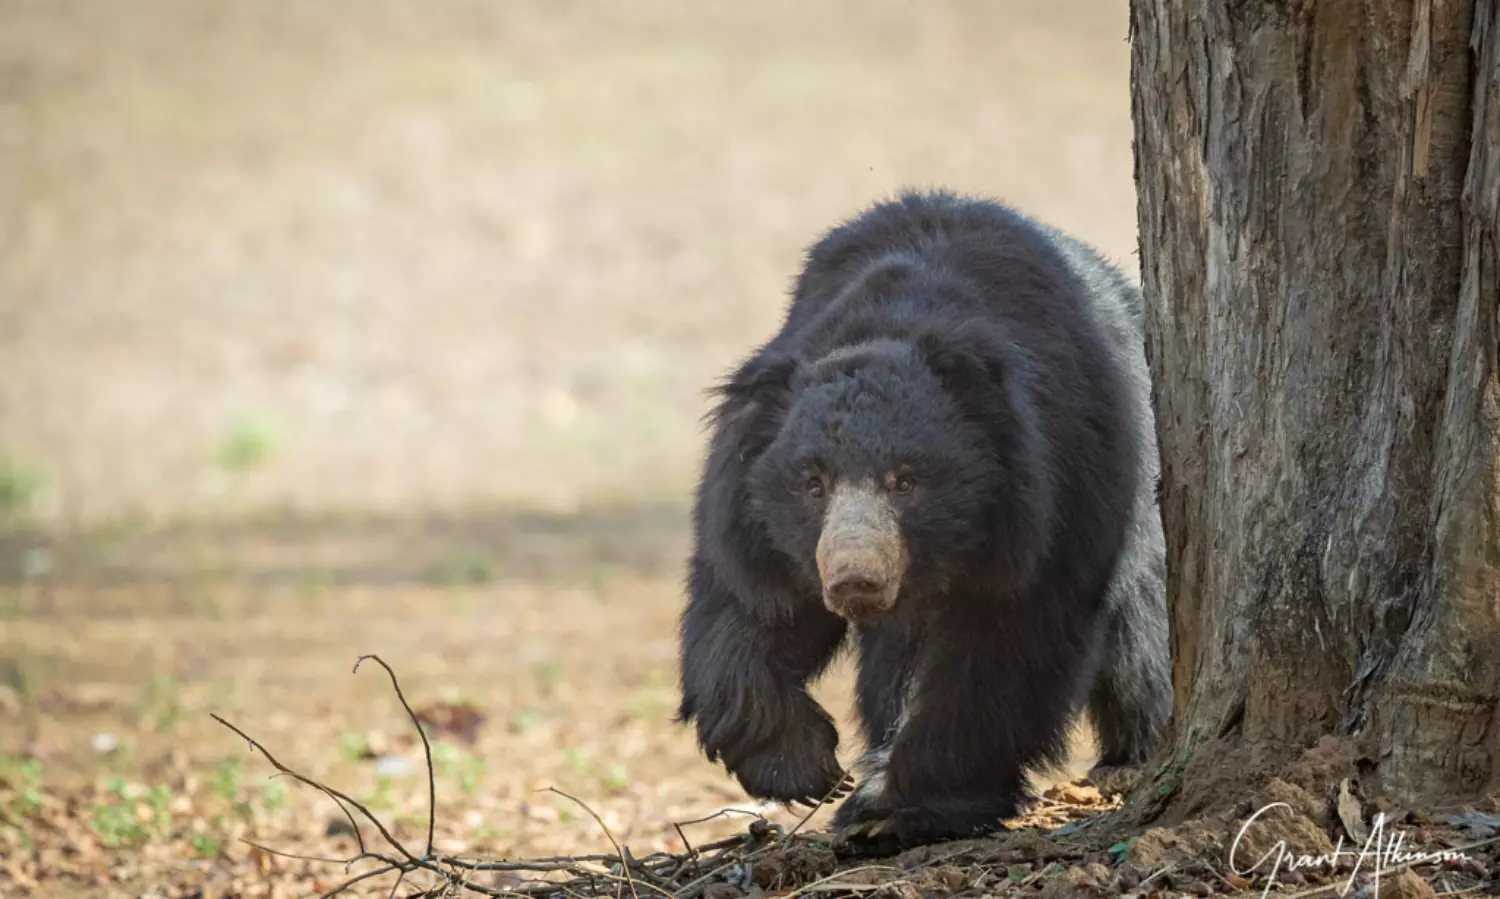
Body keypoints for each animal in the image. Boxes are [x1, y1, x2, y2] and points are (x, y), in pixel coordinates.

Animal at [674, 189, 1171, 855]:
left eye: (905, 481)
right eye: (812, 483)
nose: (855, 580)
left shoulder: (1051, 498)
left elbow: (1004, 649)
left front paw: (893, 807)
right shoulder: (750, 508)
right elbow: (749, 605)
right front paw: (806, 768)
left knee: (1139, 626)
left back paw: (1130, 758)